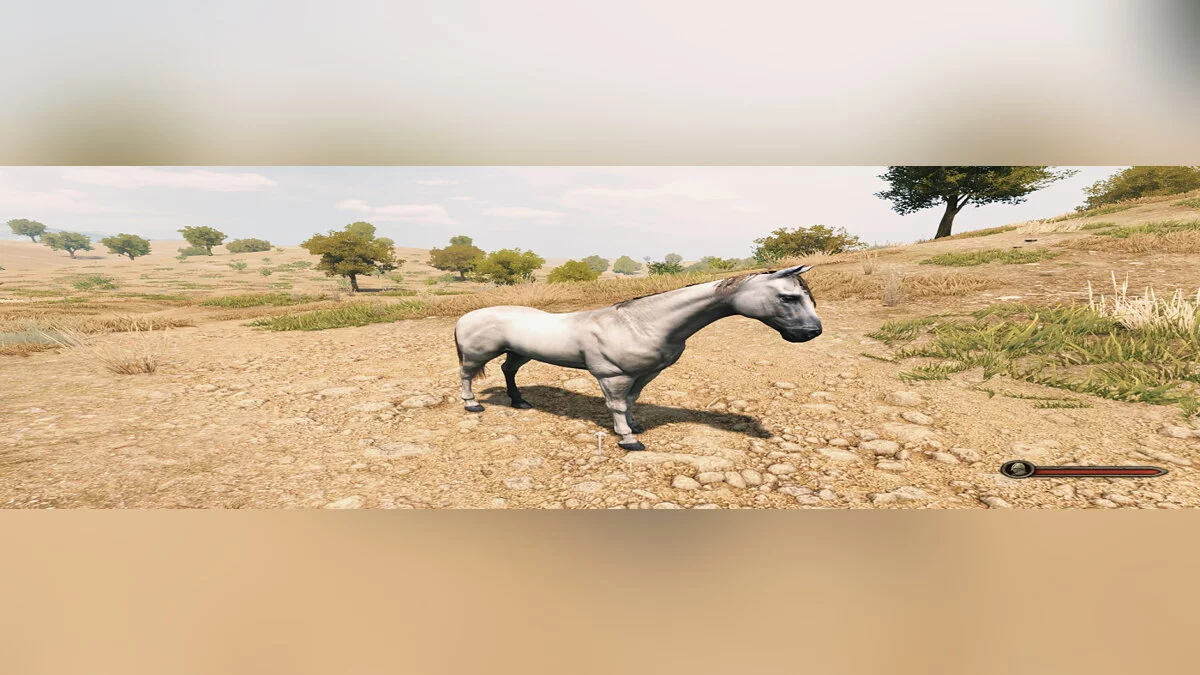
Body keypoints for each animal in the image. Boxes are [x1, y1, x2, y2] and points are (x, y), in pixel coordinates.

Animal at [453, 264, 821, 451]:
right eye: (788, 297)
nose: (811, 332)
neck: (642, 324)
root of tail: (465, 316)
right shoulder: (612, 376)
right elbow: (616, 405)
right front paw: (628, 440)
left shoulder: (644, 374)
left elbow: (631, 402)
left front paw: (634, 426)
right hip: (475, 355)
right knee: (466, 375)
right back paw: (473, 405)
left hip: (518, 353)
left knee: (508, 370)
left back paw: (519, 402)